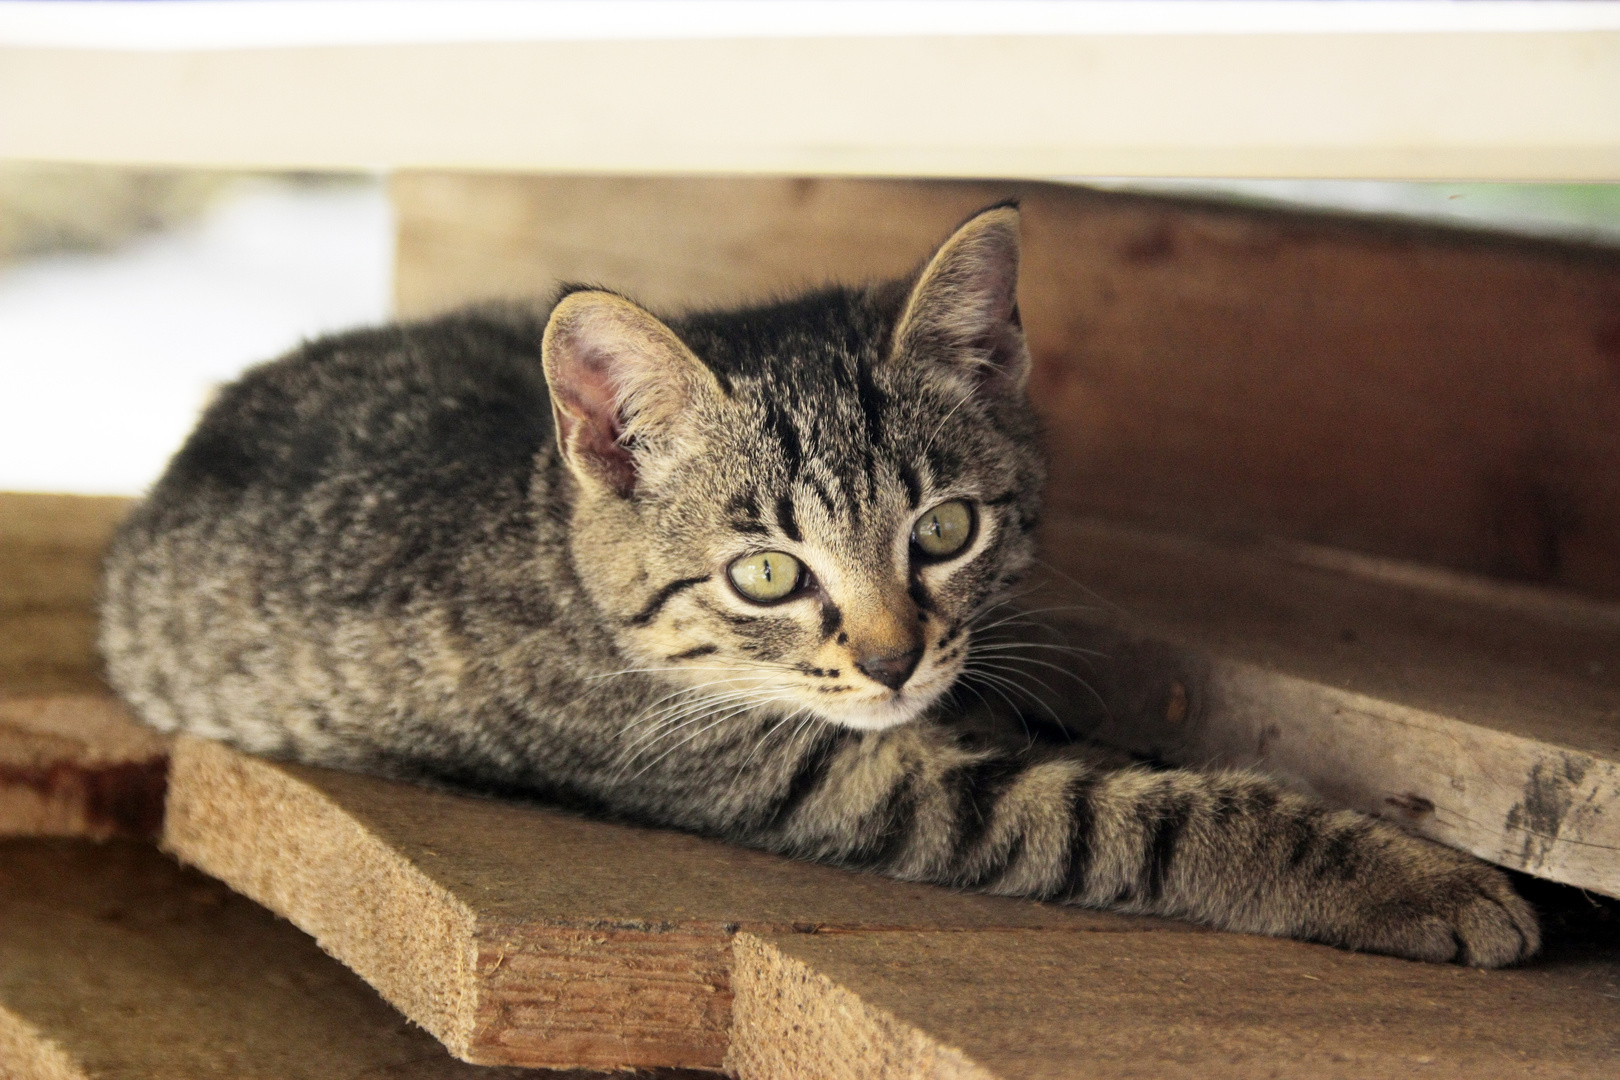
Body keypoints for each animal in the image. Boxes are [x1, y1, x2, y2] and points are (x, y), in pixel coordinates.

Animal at [101, 204, 1542, 971]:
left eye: (945, 529)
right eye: (765, 573)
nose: (897, 659)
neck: (556, 539)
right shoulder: (817, 773)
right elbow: (1118, 816)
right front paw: (1414, 883)